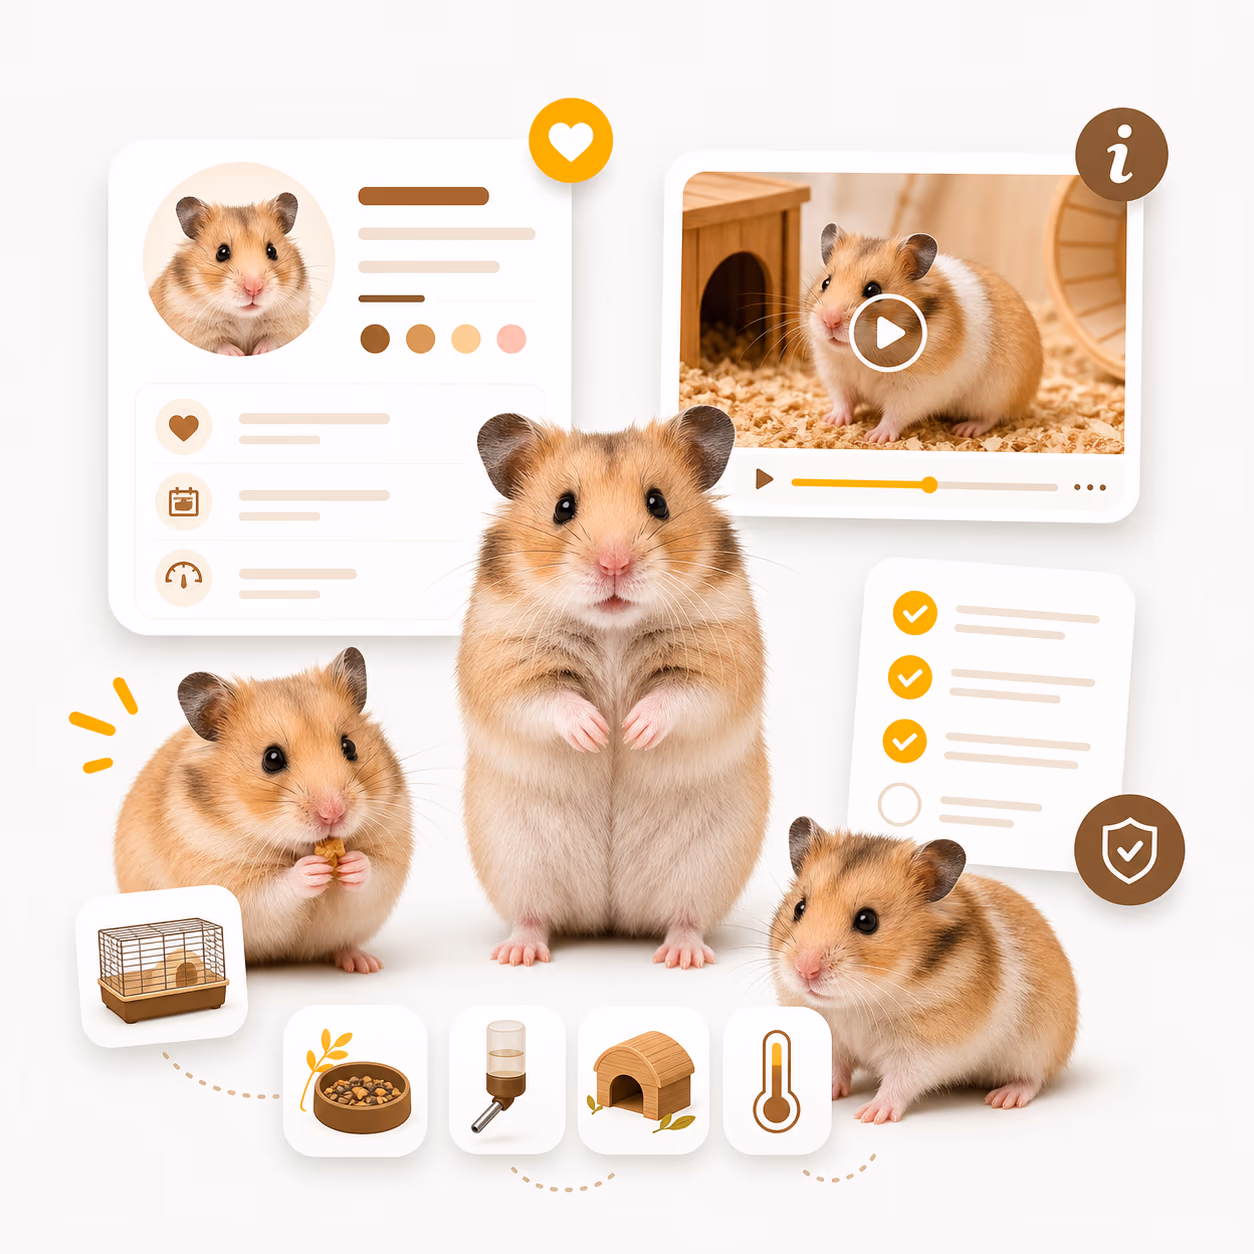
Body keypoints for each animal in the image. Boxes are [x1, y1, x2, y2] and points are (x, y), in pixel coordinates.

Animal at [114, 648, 413, 974]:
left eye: (350, 747)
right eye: (272, 759)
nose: (333, 814)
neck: (298, 849)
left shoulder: (389, 857)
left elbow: (372, 872)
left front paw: (352, 864)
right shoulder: (228, 879)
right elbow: (276, 889)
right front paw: (311, 870)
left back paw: (364, 963)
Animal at [148, 193, 311, 356]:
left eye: (272, 251)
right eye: (221, 252)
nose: (254, 288)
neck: (245, 318)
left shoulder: (291, 321)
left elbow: (271, 340)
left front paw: (258, 352)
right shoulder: (190, 323)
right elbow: (219, 344)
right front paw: (237, 353)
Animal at [457, 406, 769, 968]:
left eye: (658, 502)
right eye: (563, 507)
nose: (614, 565)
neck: (613, 630)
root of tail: (610, 917)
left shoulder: (722, 656)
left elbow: (681, 696)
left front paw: (632, 730)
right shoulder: (503, 658)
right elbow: (545, 699)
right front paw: (599, 732)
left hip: (704, 867)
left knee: (685, 917)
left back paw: (682, 956)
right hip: (517, 860)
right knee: (533, 915)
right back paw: (518, 953)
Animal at [771, 819, 1077, 1122]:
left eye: (867, 920)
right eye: (799, 907)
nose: (804, 970)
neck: (860, 1002)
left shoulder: (925, 1048)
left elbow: (901, 1080)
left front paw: (870, 1114)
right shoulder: (833, 1037)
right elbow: (836, 1067)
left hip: (1039, 1048)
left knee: (1032, 1079)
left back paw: (1003, 1098)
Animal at [805, 225, 1043, 443]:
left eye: (873, 290)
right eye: (826, 283)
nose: (829, 320)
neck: (863, 353)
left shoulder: (915, 389)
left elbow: (895, 415)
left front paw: (875, 437)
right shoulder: (836, 375)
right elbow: (842, 401)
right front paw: (830, 420)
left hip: (997, 394)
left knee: (991, 417)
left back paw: (965, 429)